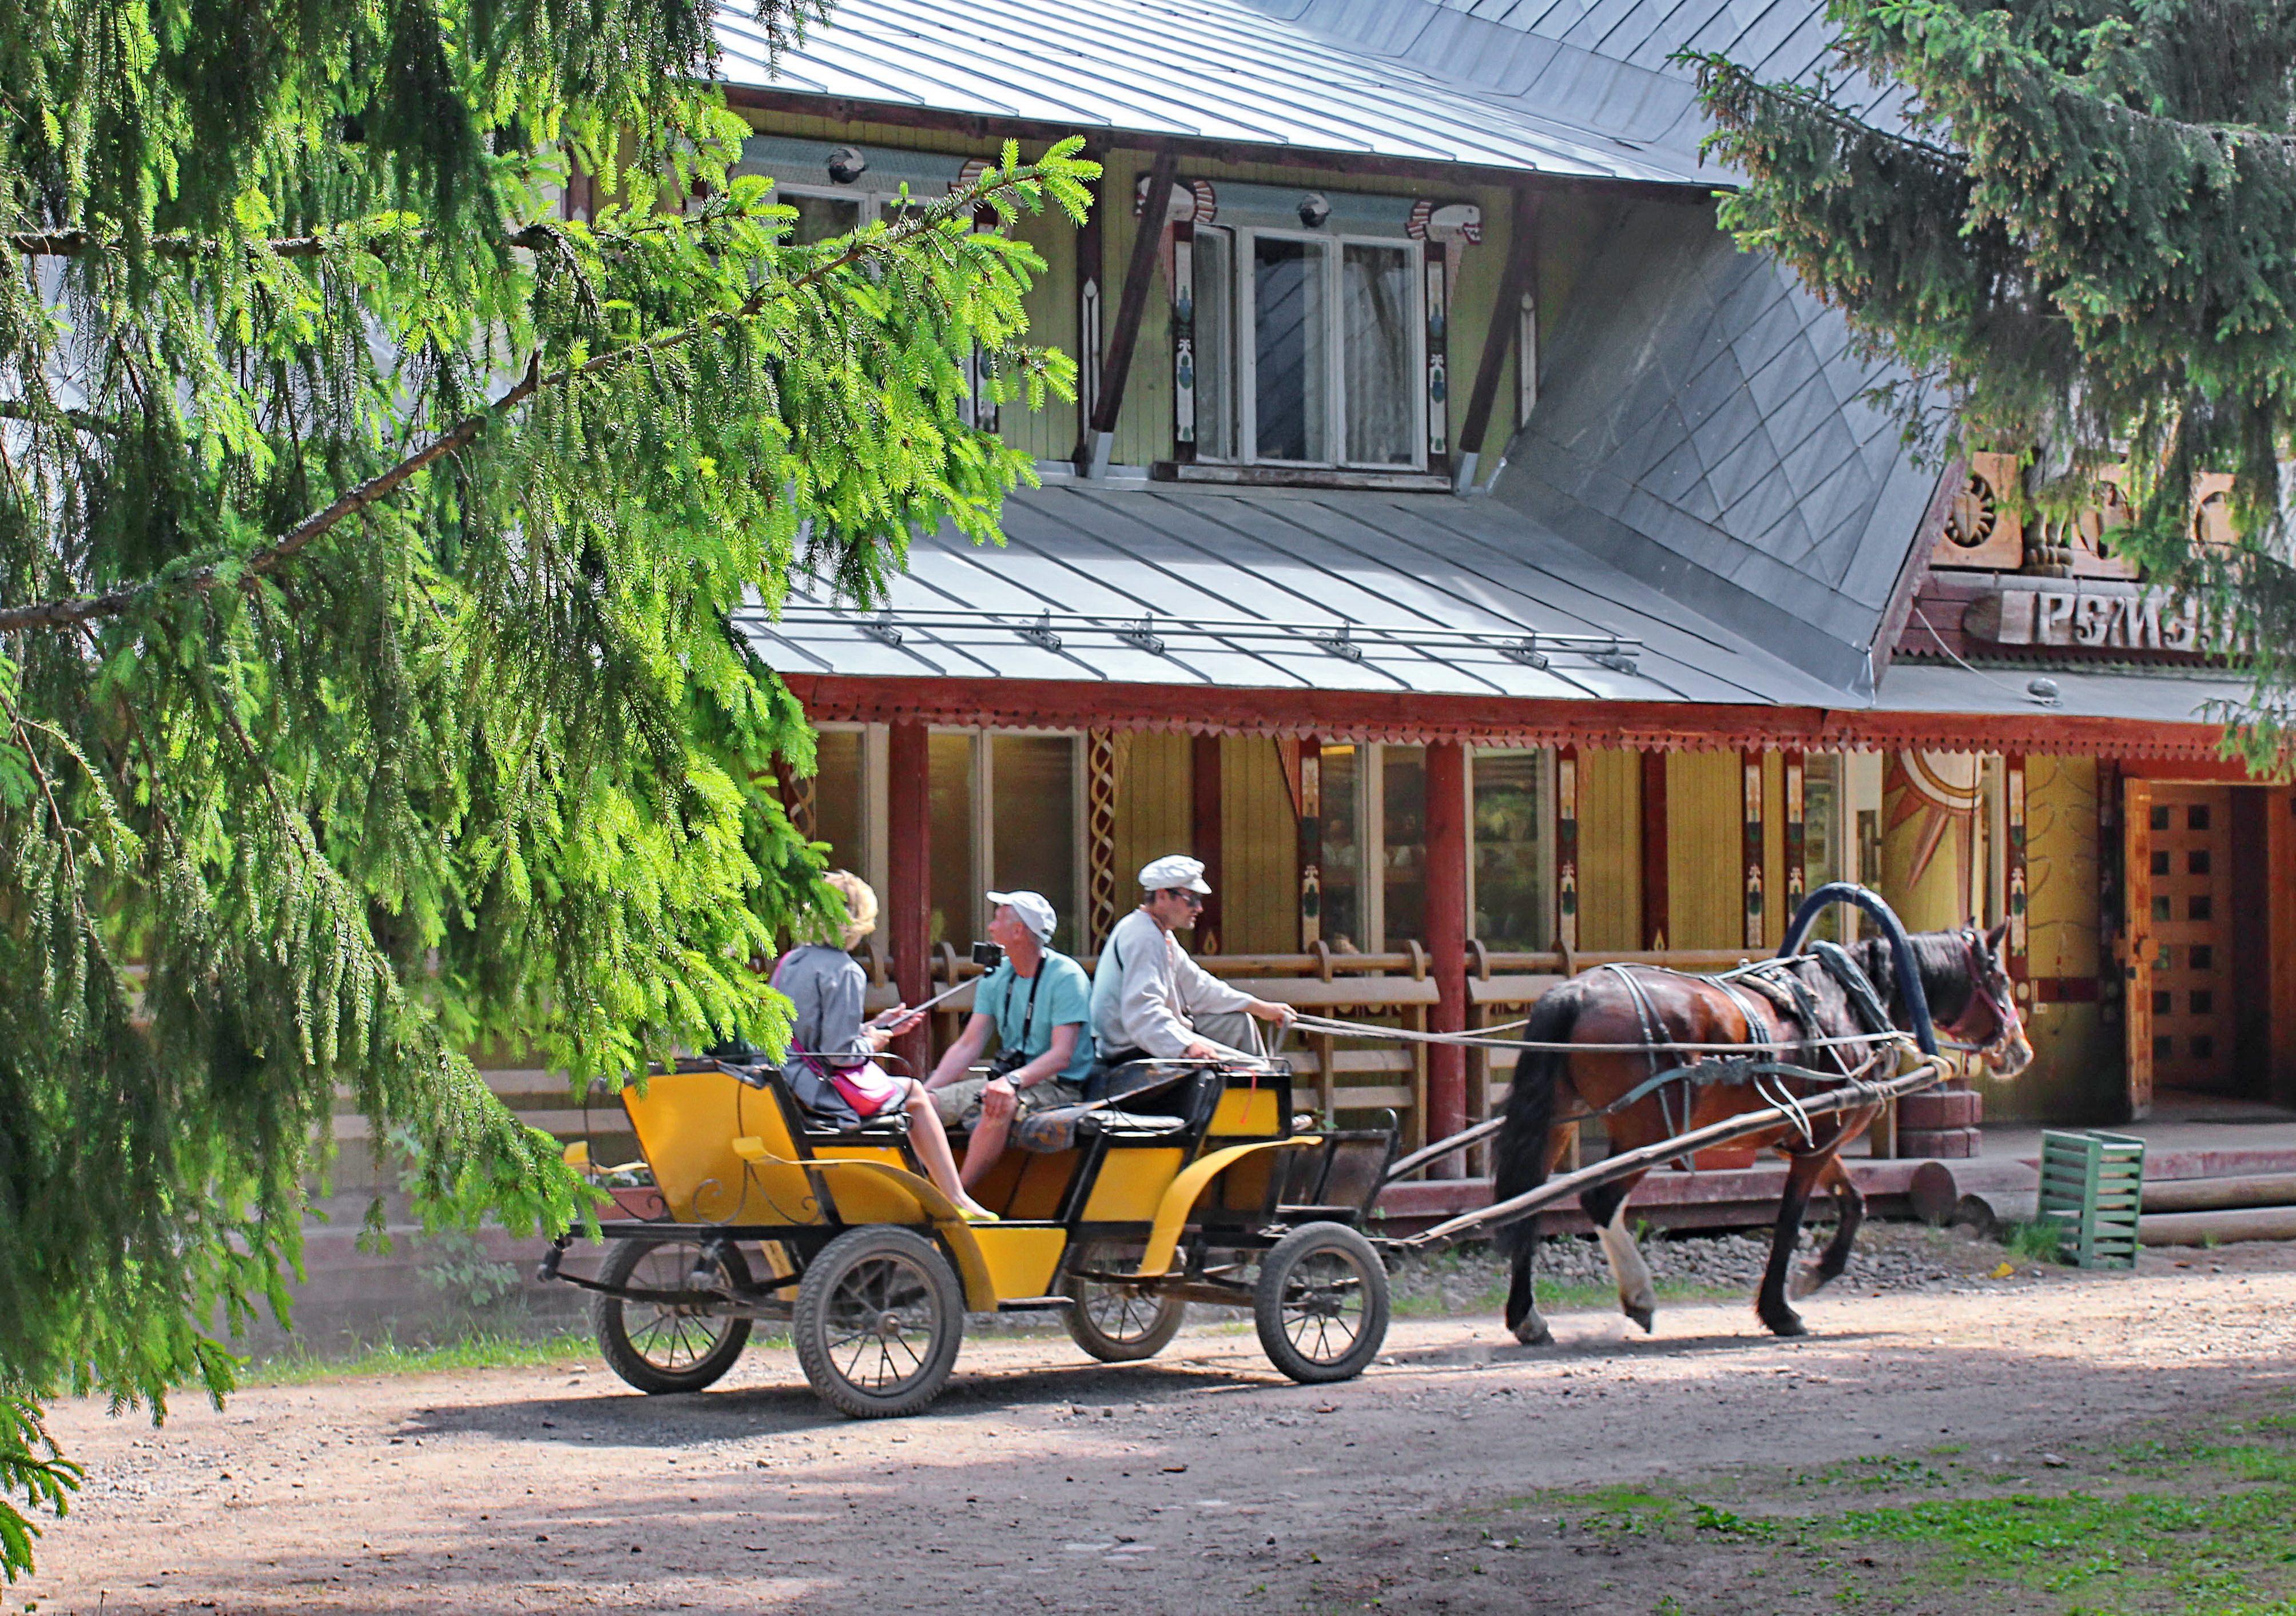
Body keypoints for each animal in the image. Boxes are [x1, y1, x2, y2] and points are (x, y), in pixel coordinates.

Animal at [1497, 927, 2039, 1340]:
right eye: (2000, 978)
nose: (2021, 1051)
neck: (1852, 1002)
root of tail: (1576, 993)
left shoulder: (1816, 1135)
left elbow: (1854, 1203)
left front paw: (1812, 1277)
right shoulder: (1818, 1143)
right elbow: (1789, 1223)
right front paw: (1781, 1310)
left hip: (1559, 1121)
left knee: (1528, 1203)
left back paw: (1528, 1317)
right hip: (1644, 1133)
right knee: (1599, 1201)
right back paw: (1638, 1295)